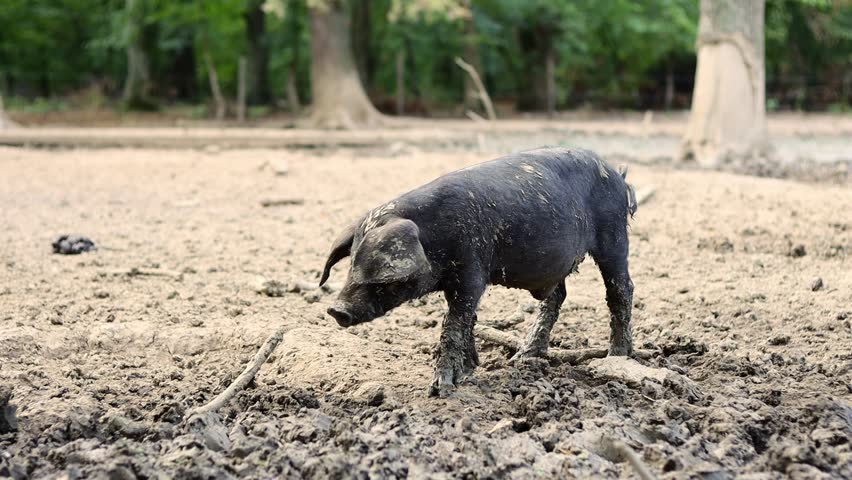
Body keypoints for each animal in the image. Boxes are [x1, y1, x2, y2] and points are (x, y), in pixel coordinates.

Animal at [319, 147, 638, 397]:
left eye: (378, 273)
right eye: (350, 264)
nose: (336, 309)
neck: (433, 237)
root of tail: (618, 175)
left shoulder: (472, 270)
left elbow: (454, 324)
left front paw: (441, 389)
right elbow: (466, 321)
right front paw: (470, 371)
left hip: (614, 235)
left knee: (621, 289)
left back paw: (617, 357)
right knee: (557, 296)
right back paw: (522, 358)